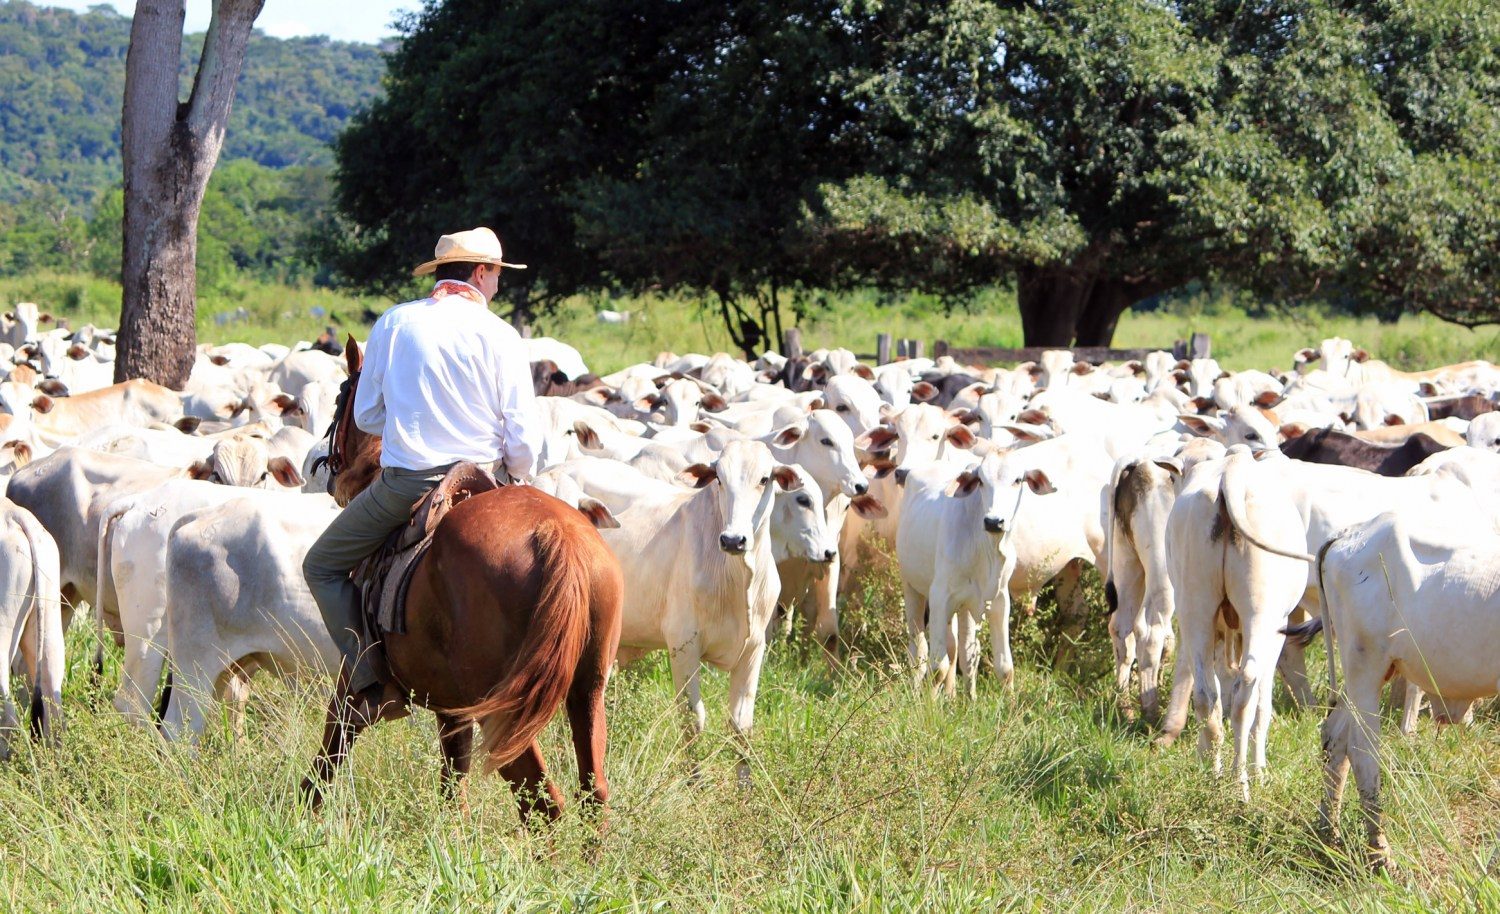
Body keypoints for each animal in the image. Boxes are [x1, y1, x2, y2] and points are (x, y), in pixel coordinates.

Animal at [301, 336, 624, 822]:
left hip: (505, 710)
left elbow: (329, 754)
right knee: (592, 792)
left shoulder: (351, 681)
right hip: (587, 691)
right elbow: (453, 784)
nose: (328, 472)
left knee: (543, 803)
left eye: (341, 397)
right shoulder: (452, 710)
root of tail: (557, 535)